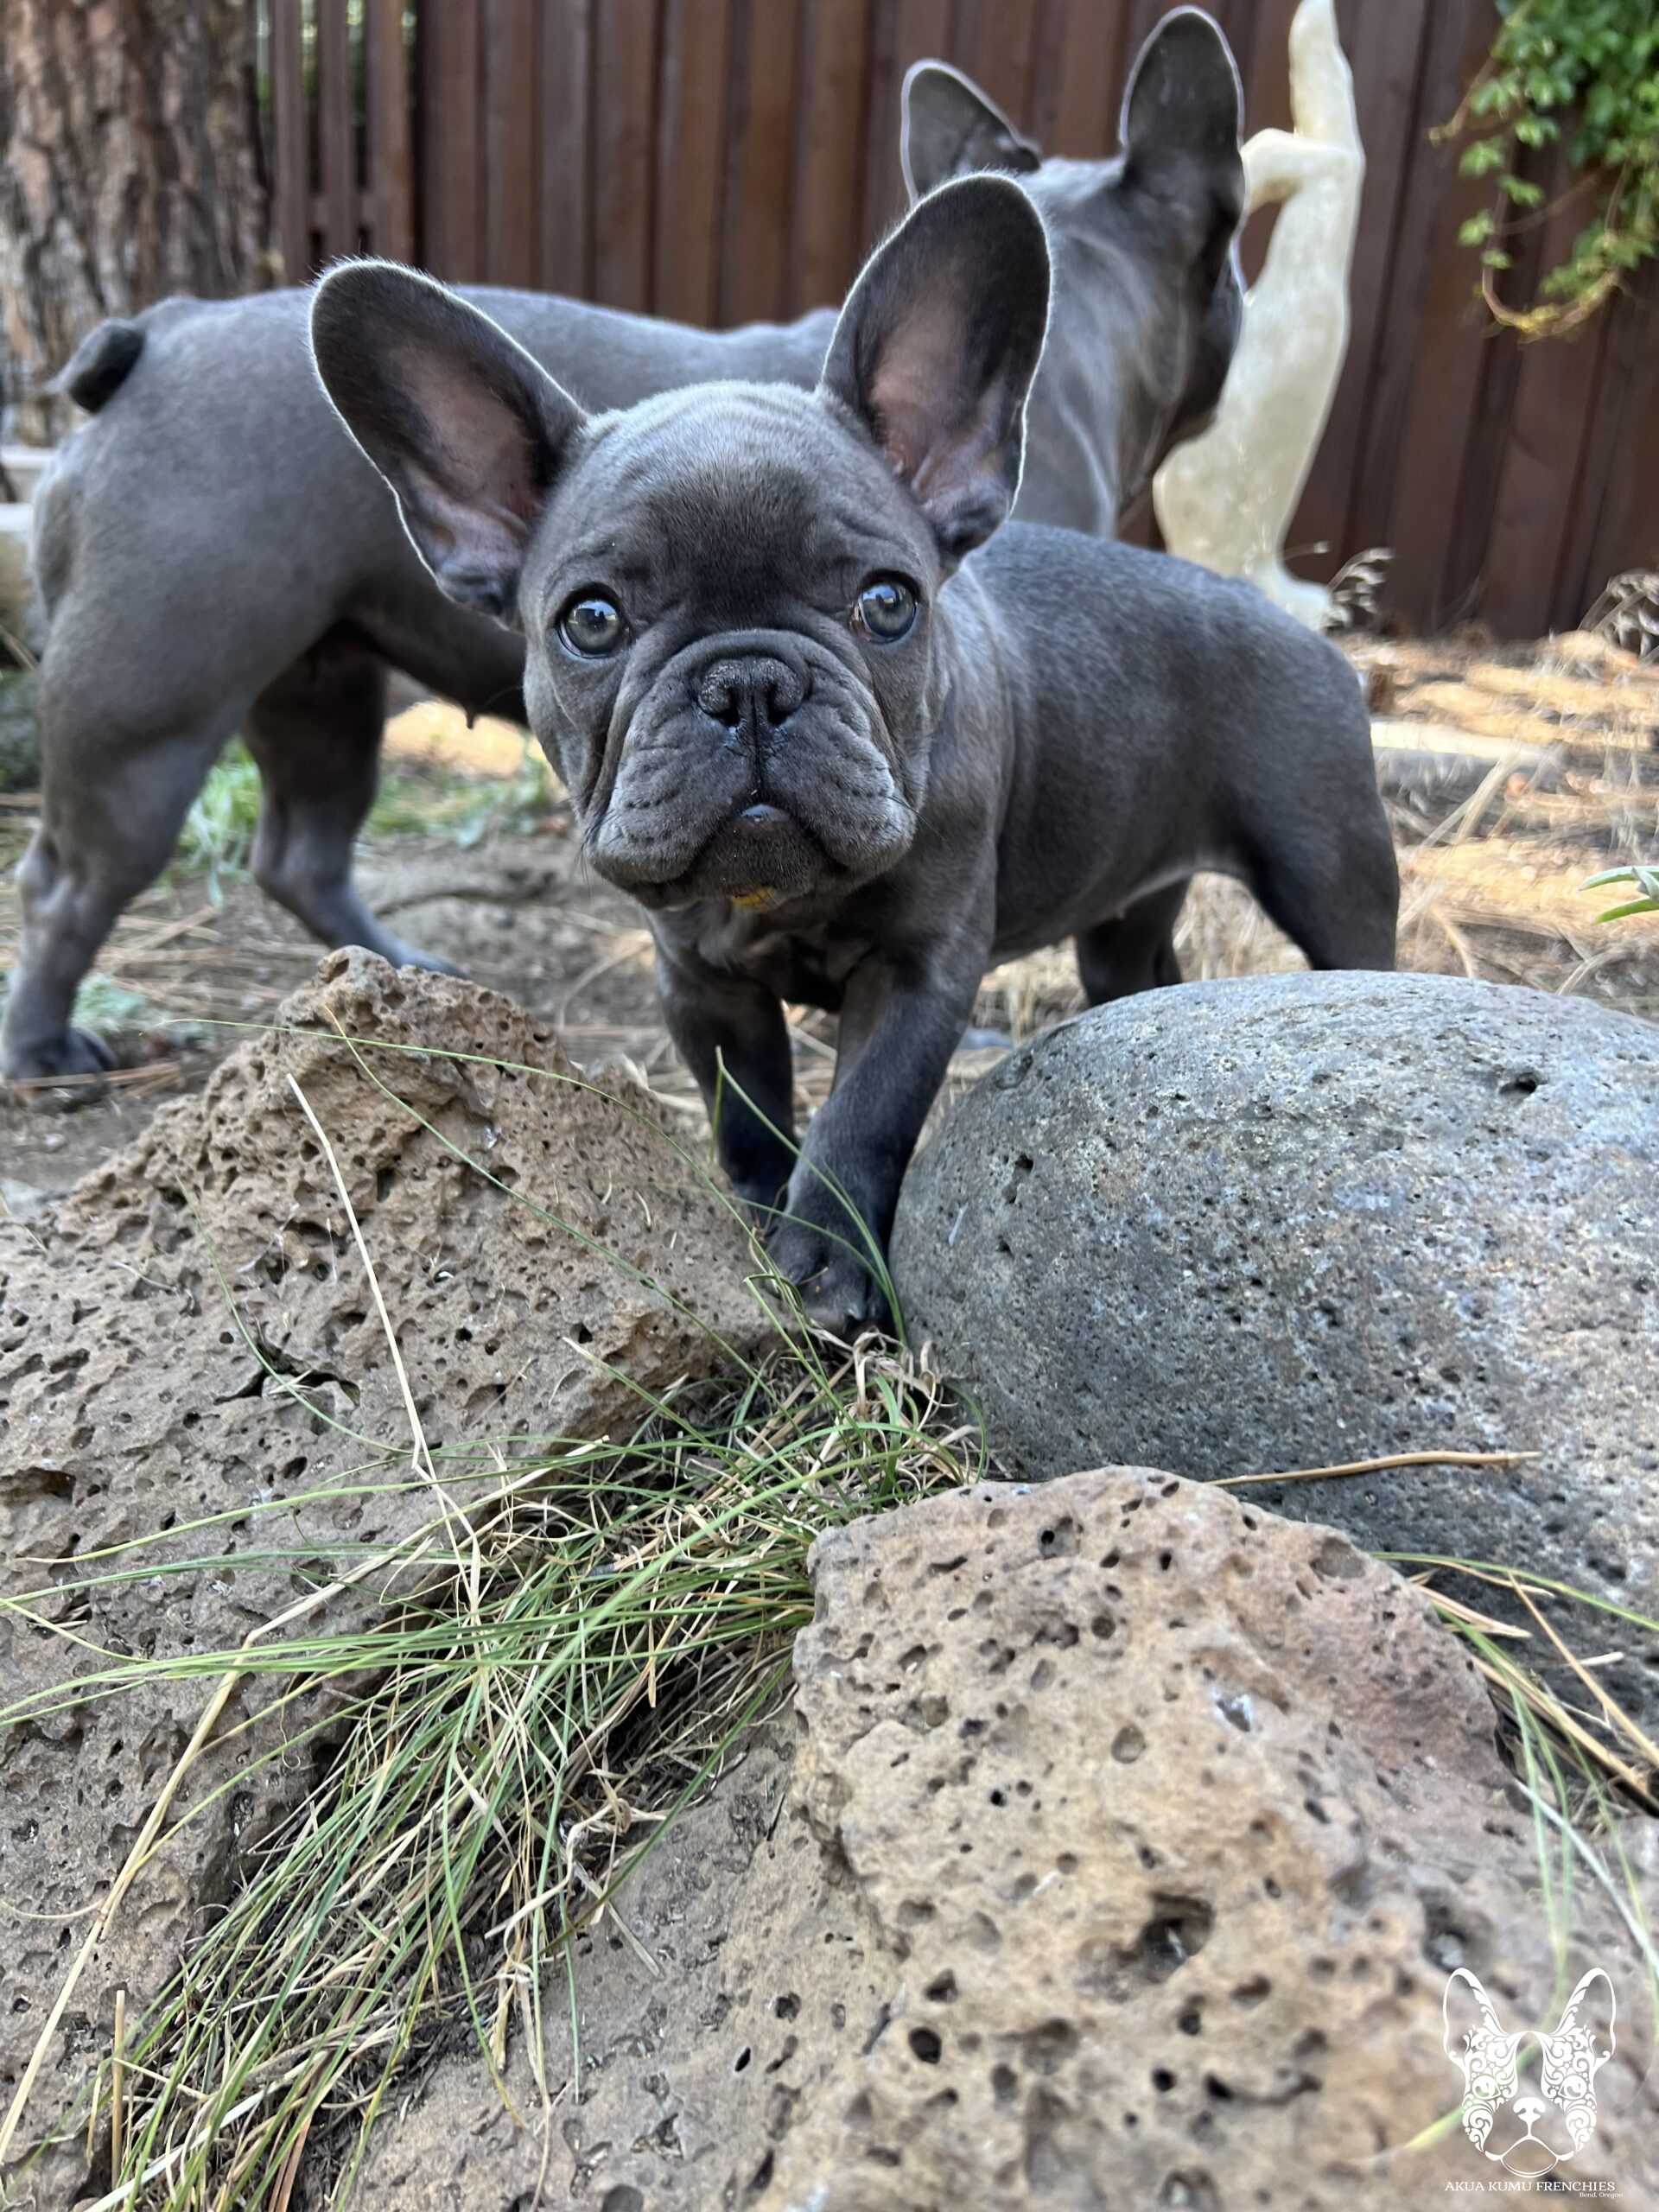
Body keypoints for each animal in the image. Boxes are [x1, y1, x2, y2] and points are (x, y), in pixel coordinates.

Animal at [0, 9, 1247, 1079]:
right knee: (66, 882)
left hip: (323, 687)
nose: (750, 683)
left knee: (301, 851)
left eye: (884, 603)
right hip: (148, 709)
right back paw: (45, 1047)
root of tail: (161, 333)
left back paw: (403, 979)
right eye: (592, 619)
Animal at [311, 172, 1407, 1327]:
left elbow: (862, 1116)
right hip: (1124, 917)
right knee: (1140, 965)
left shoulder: (917, 971)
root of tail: (1318, 640)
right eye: (592, 621)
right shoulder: (701, 985)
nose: (749, 683)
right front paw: (754, 1218)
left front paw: (829, 1267)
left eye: (887, 603)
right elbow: (747, 1112)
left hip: (1328, 872)